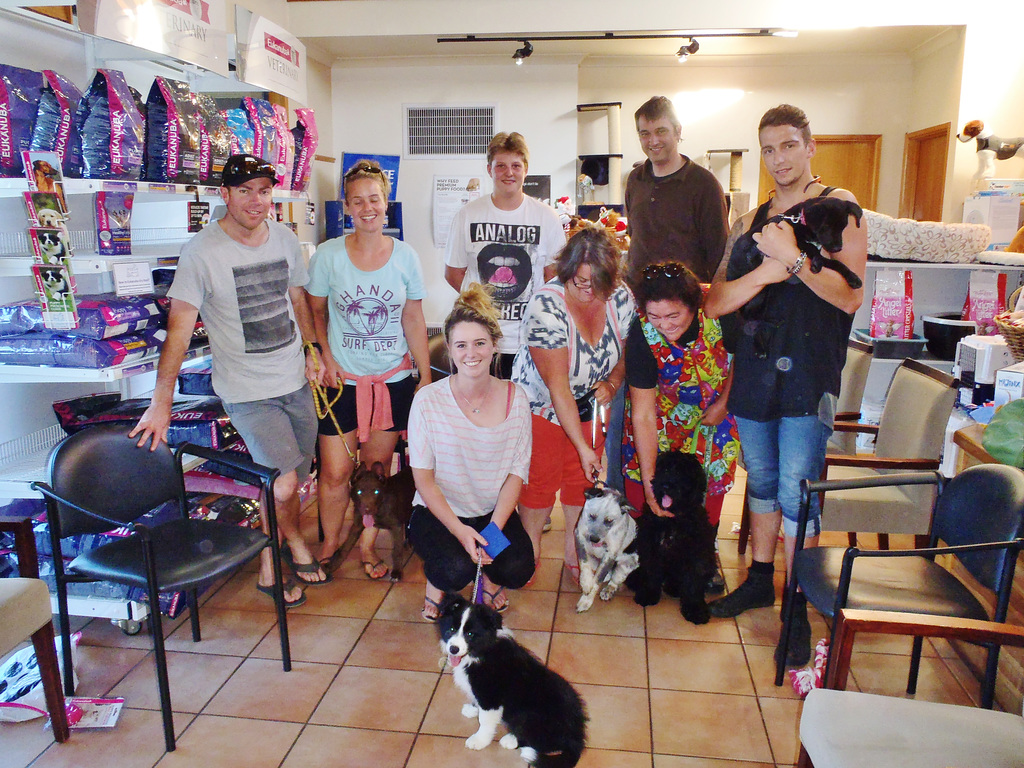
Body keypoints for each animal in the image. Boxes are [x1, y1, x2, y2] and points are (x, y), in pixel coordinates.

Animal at [436, 593, 589, 765]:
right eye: (451, 629)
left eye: (470, 634)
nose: (453, 649)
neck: (481, 651)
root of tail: (576, 738)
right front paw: (472, 709)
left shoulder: (491, 695)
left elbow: (485, 720)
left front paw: (479, 741)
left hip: (530, 714)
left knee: (541, 743)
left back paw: (511, 740)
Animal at [618, 450, 716, 626]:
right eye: (664, 470)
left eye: (681, 473)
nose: (665, 485)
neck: (673, 520)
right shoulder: (651, 546)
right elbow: (652, 572)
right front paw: (648, 594)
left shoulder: (697, 554)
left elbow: (694, 583)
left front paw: (695, 610)